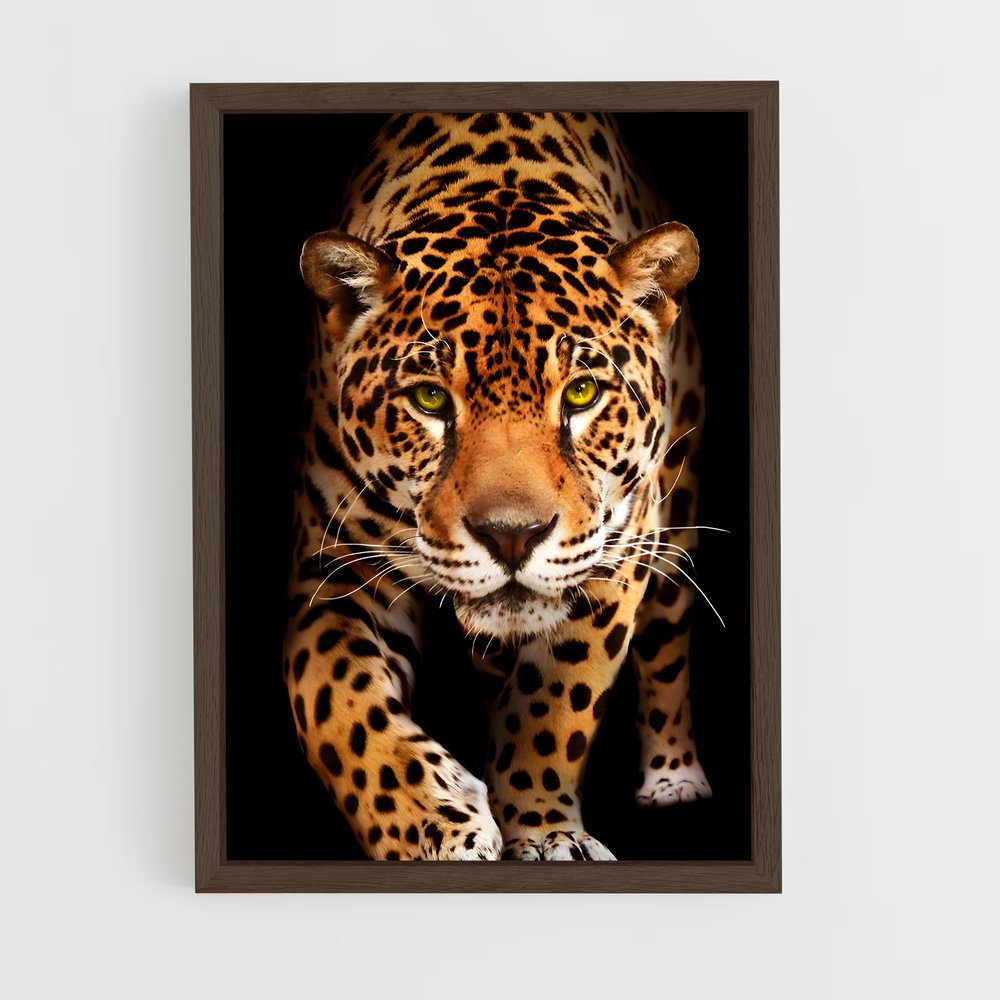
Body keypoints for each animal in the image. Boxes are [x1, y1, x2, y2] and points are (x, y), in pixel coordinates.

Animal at [283, 111, 713, 861]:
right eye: (429, 398)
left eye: (582, 393)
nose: (511, 538)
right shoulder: (334, 571)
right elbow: (341, 706)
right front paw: (436, 825)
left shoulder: (615, 552)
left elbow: (555, 703)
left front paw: (544, 832)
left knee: (668, 642)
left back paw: (673, 778)